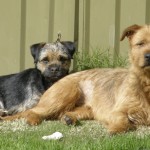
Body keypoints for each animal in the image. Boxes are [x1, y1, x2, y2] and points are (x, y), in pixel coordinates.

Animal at [1, 24, 150, 134]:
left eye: (62, 59)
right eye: (140, 44)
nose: (54, 69)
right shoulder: (116, 111)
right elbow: (124, 122)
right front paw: (116, 129)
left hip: (86, 109)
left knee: (61, 113)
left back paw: (69, 118)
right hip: (69, 91)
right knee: (32, 111)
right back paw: (33, 119)